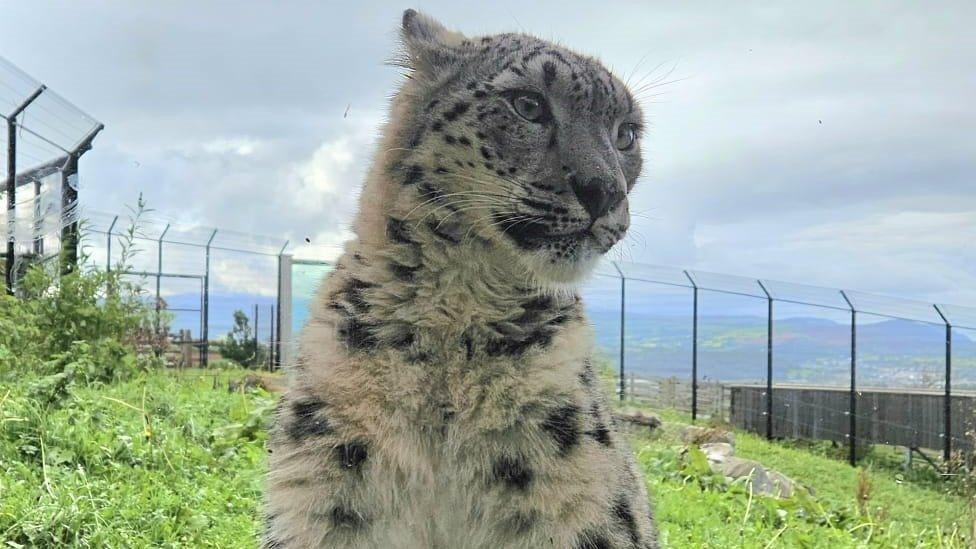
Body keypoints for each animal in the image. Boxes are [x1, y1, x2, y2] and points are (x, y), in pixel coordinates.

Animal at [264, 9, 656, 548]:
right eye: (528, 104)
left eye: (626, 135)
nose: (605, 190)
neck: (456, 311)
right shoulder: (323, 490)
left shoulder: (587, 506)